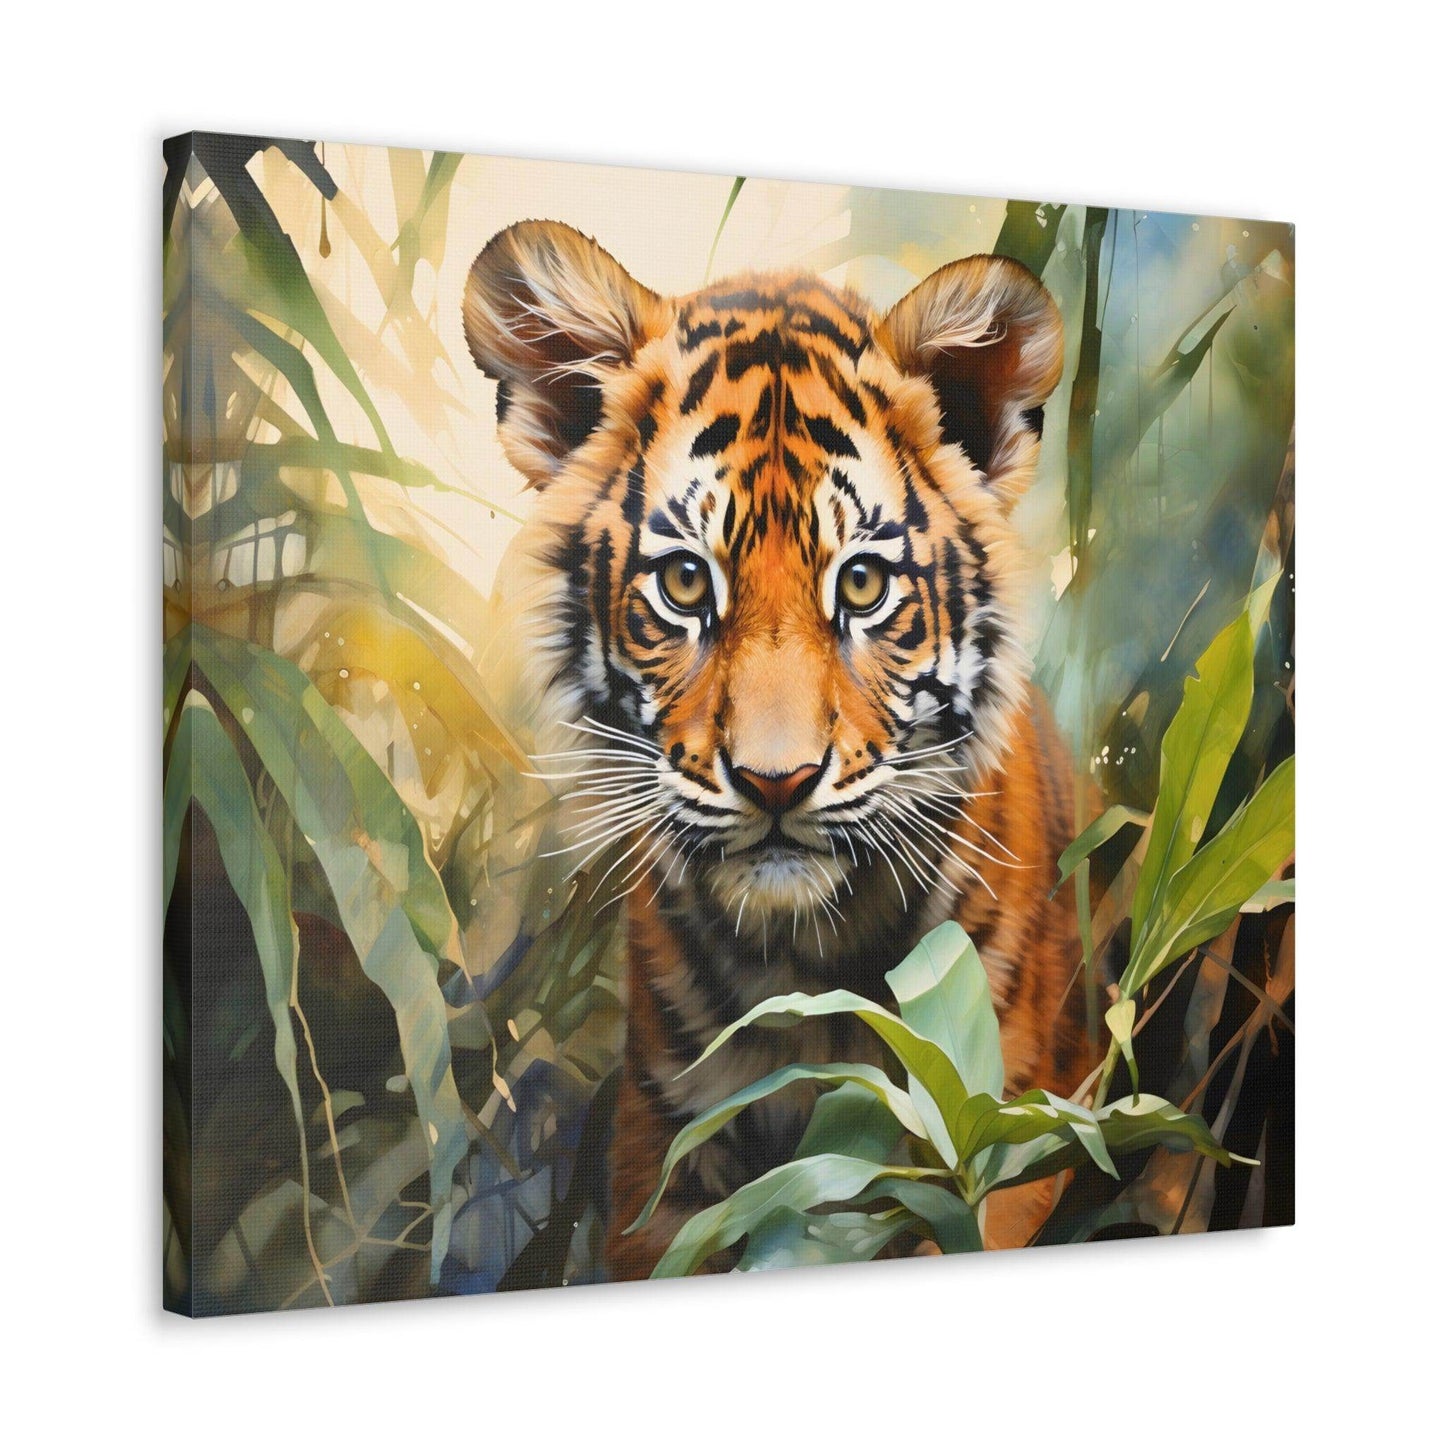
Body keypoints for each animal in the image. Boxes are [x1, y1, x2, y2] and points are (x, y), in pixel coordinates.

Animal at [463, 219, 1094, 1281]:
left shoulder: (1004, 1149)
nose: (775, 781)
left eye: (863, 584)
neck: (805, 965)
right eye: (684, 583)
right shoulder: (661, 1164)